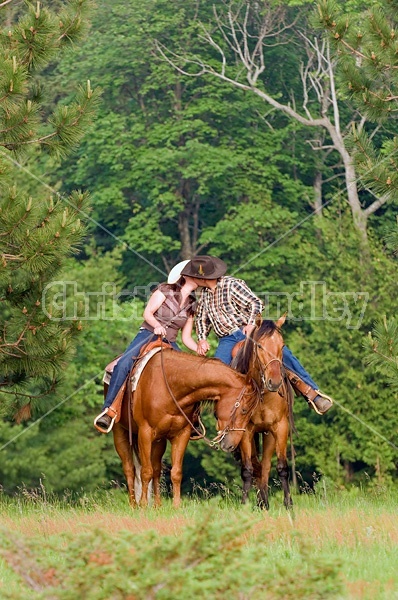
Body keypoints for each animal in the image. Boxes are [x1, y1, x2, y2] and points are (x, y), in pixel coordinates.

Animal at [109, 350, 258, 508]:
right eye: (244, 410)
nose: (231, 445)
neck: (170, 385)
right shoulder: (145, 433)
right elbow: (145, 471)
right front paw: (143, 505)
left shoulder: (181, 434)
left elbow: (176, 472)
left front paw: (176, 505)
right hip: (120, 433)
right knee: (129, 469)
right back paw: (133, 505)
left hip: (159, 441)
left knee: (156, 469)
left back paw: (157, 505)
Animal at [232, 314, 294, 510]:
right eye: (259, 346)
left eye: (282, 346)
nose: (274, 382)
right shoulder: (245, 431)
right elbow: (247, 470)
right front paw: (244, 504)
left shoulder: (280, 427)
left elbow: (282, 467)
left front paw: (289, 504)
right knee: (256, 466)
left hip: (268, 434)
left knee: (265, 466)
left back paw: (263, 502)